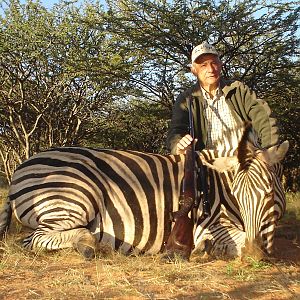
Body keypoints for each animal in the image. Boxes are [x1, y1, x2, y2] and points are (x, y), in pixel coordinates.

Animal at [0, 125, 290, 258]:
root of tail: (19, 168)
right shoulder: (211, 222)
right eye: (238, 196)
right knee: (33, 240)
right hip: (74, 198)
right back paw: (89, 244)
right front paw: (206, 248)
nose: (256, 254)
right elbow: (235, 239)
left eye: (268, 193)